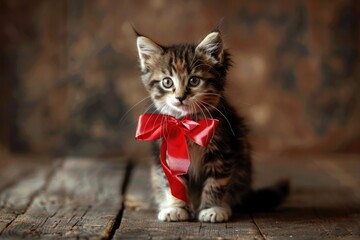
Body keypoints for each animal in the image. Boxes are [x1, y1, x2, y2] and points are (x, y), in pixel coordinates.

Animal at [135, 30, 290, 223]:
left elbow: (216, 183)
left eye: (194, 81)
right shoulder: (167, 155)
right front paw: (176, 208)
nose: (180, 97)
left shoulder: (223, 151)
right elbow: (173, 184)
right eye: (167, 82)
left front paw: (212, 209)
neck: (188, 123)